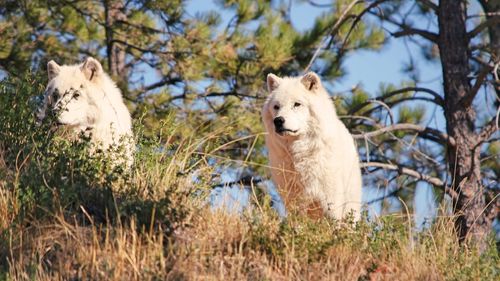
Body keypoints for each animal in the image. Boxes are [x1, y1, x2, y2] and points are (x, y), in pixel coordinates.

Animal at [260, 71, 362, 220]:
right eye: (276, 106)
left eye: (297, 104)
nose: (278, 121)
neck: (300, 154)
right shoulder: (294, 199)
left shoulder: (331, 199)